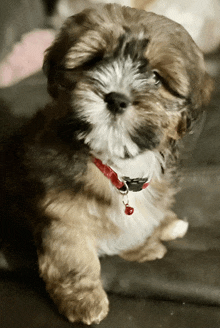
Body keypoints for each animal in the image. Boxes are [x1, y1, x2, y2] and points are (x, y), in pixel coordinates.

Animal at [0, 2, 212, 326]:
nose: (116, 99)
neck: (116, 165)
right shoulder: (63, 214)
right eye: (94, 61)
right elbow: (74, 258)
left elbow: (136, 224)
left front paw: (142, 248)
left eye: (156, 77)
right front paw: (84, 300)